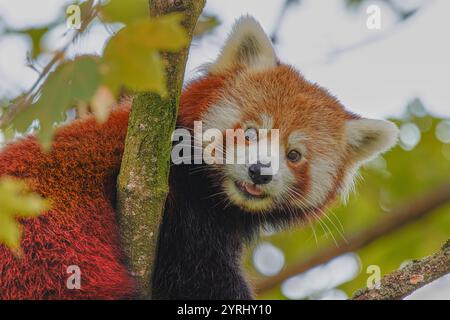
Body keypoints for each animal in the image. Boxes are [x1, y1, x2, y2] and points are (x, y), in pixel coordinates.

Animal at [0, 16, 398, 298]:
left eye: (295, 154)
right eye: (250, 133)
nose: (259, 172)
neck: (211, 193)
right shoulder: (176, 207)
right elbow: (204, 279)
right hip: (50, 253)